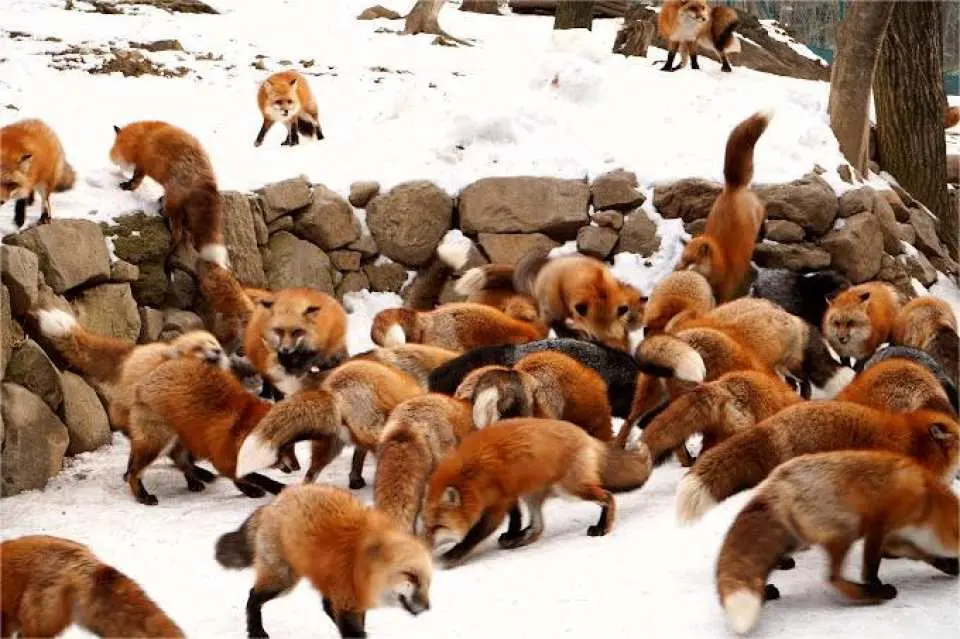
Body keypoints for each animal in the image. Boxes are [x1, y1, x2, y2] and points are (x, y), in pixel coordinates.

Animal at [109, 120, 228, 269]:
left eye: (116, 146)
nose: (113, 158)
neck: (141, 138)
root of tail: (206, 176)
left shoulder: (142, 165)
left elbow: (135, 181)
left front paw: (127, 187)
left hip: (172, 200)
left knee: (176, 229)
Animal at [214, 484, 432, 639]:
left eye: (428, 583)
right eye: (411, 577)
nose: (428, 608)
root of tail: (277, 500)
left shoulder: (351, 600)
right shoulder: (347, 602)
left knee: (325, 605)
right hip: (283, 581)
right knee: (253, 596)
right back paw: (255, 630)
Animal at [423, 417, 652, 567]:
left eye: (438, 526)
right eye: (426, 527)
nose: (425, 547)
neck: (470, 476)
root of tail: (586, 436)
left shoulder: (498, 504)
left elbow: (474, 535)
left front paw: (451, 556)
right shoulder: (510, 493)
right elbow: (516, 517)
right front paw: (513, 533)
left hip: (569, 490)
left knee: (608, 497)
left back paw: (602, 526)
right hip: (533, 494)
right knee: (539, 527)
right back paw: (520, 540)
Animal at [677, 110, 772, 303]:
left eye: (691, 262)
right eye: (682, 259)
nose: (677, 272)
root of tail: (733, 186)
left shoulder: (727, 294)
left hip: (758, 213)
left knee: (764, 213)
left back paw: (763, 233)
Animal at [715, 451, 959, 635]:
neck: (928, 502)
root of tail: (774, 481)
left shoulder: (897, 538)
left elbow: (923, 555)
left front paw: (948, 567)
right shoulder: (879, 524)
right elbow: (871, 565)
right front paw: (874, 583)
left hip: (796, 539)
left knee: (768, 564)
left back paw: (767, 590)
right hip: (847, 529)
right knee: (833, 578)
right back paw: (874, 594)